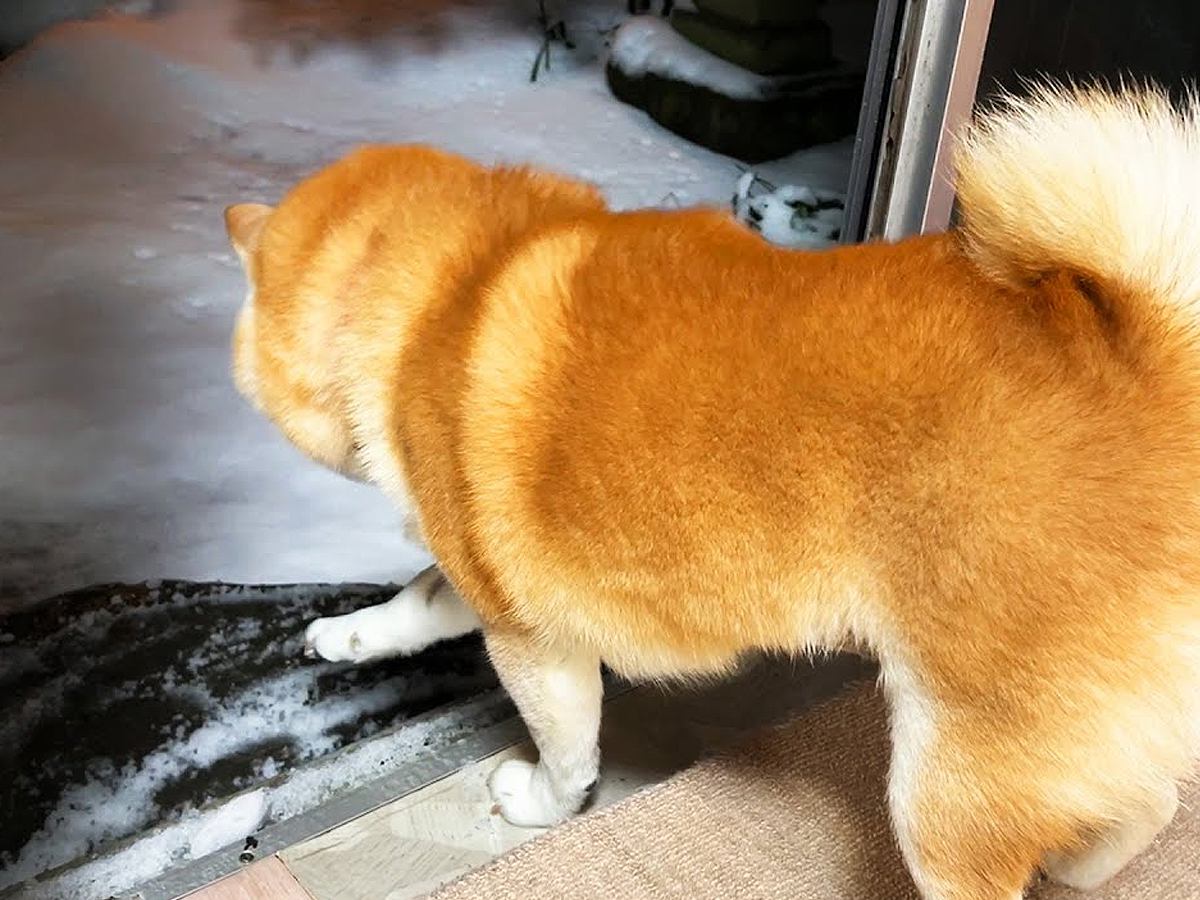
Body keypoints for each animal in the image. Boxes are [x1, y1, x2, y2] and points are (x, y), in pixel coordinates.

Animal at [225, 86, 1200, 900]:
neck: (452, 288)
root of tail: (1153, 360)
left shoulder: (530, 636)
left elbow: (566, 755)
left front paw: (539, 804)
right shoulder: (476, 580)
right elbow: (411, 607)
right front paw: (345, 636)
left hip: (950, 786)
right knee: (1148, 803)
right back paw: (1078, 867)